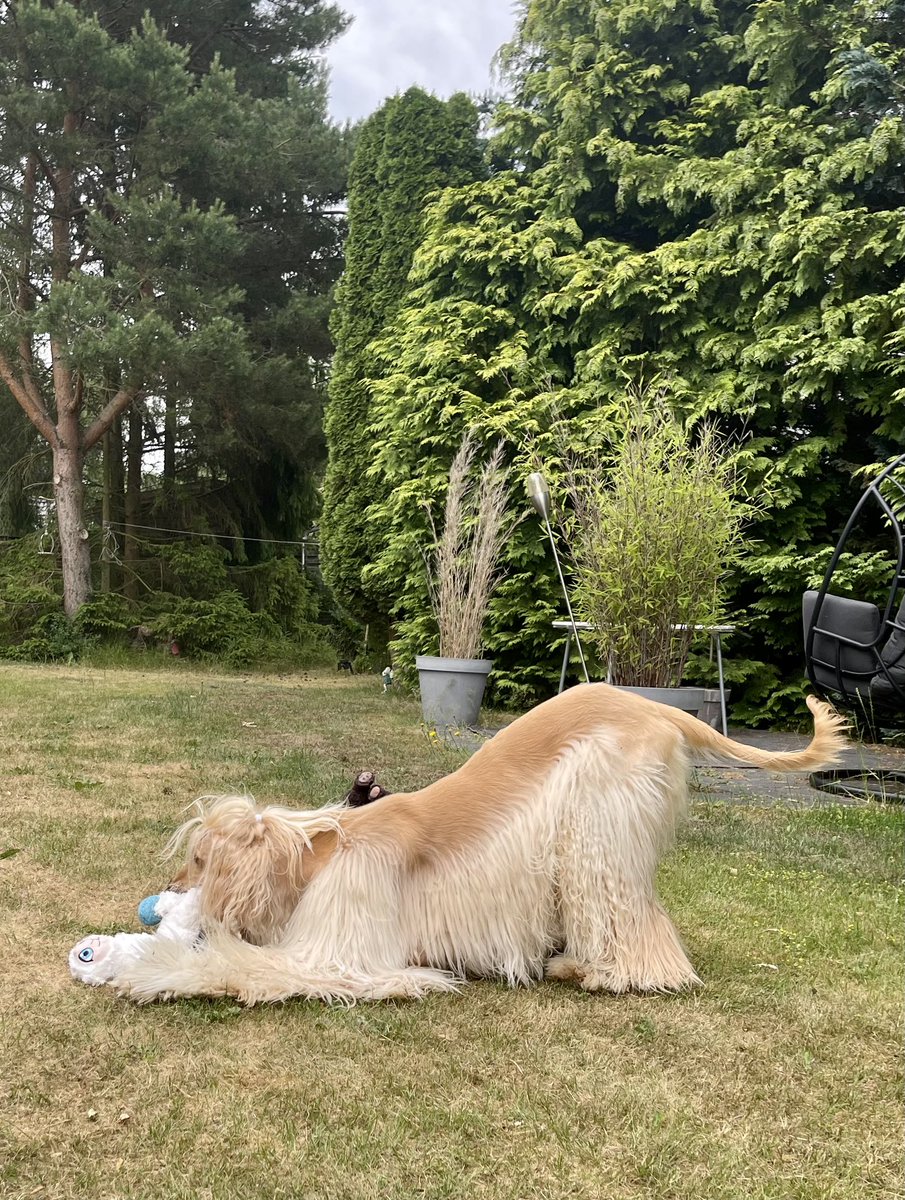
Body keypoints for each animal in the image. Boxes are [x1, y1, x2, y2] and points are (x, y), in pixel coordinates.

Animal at [107, 686, 844, 1003]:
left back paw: (609, 973)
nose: (166, 892)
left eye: (199, 860)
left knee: (626, 914)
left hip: (596, 824)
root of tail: (659, 707)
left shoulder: (343, 949)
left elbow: (245, 965)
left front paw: (149, 969)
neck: (322, 850)